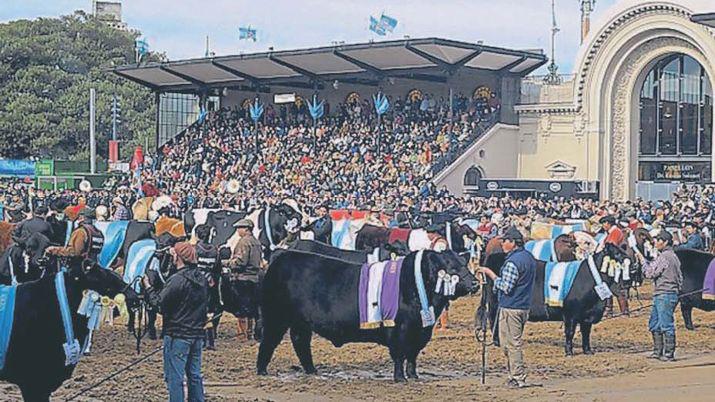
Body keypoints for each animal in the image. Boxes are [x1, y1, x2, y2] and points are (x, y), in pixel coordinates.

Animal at [255, 250, 478, 382]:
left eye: (464, 264)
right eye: (452, 268)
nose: (475, 283)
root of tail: (281, 258)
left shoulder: (421, 331)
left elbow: (413, 356)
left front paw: (414, 376)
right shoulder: (399, 330)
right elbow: (399, 355)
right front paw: (400, 378)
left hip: (301, 322)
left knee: (300, 342)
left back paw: (312, 370)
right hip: (276, 316)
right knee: (269, 341)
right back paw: (262, 371)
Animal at [484, 243, 636, 356]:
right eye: (617, 254)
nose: (634, 266)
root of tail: (496, 255)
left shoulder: (587, 315)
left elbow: (586, 333)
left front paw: (588, 350)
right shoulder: (570, 313)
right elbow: (570, 332)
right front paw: (569, 352)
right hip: (495, 304)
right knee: (493, 319)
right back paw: (497, 342)